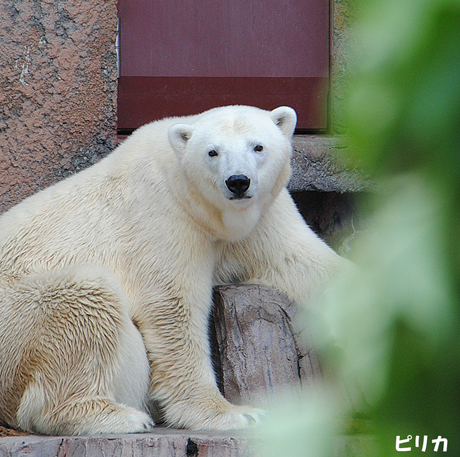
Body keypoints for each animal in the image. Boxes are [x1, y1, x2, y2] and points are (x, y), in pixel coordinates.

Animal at [0, 104, 342, 434]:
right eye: (212, 152)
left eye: (258, 146)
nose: (238, 181)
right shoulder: (162, 216)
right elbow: (172, 307)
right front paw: (233, 413)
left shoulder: (264, 215)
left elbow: (303, 259)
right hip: (16, 316)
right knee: (84, 298)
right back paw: (118, 416)